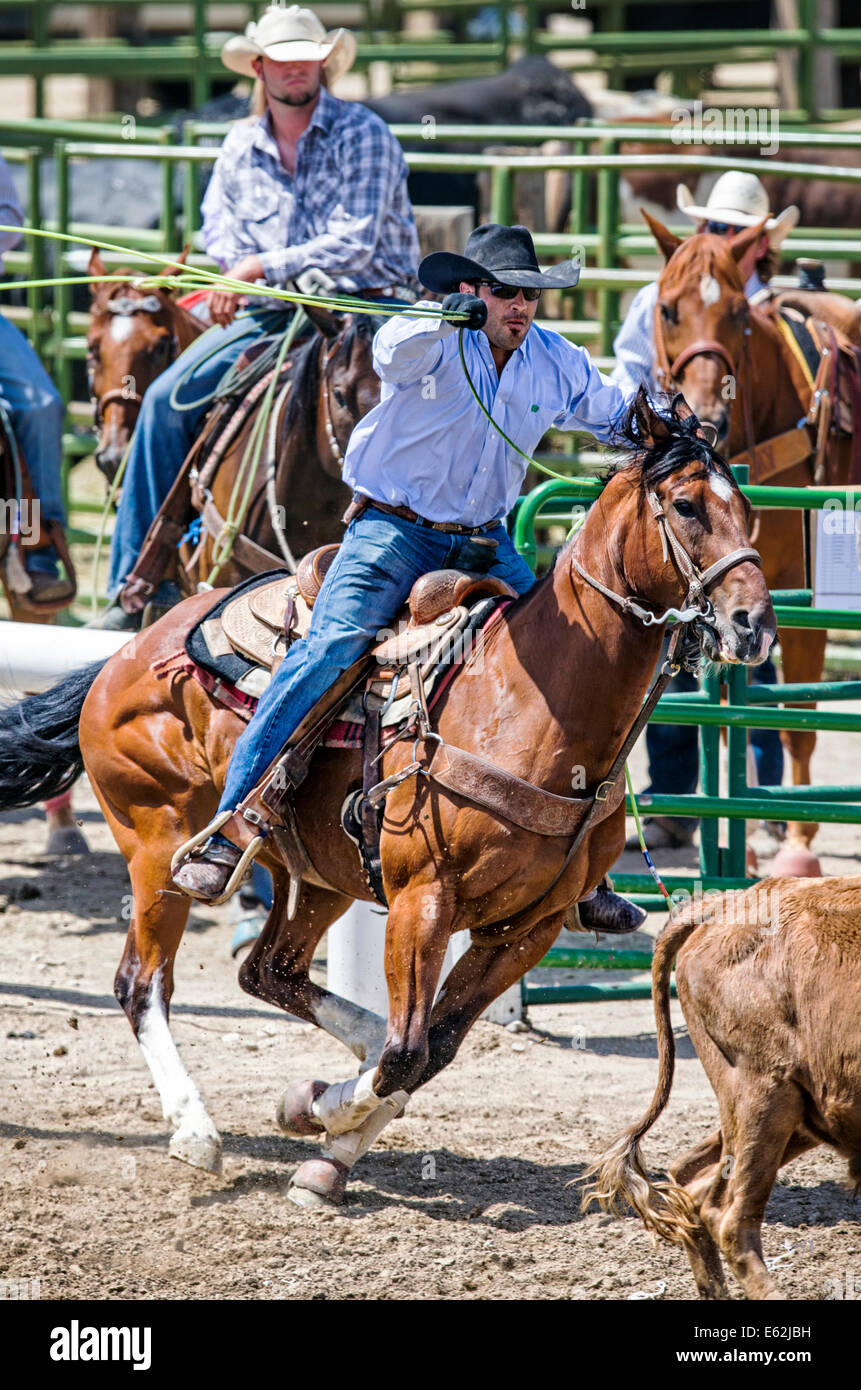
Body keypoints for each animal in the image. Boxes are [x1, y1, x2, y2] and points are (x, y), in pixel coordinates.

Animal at [0, 393, 774, 1207]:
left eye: (745, 507)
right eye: (685, 505)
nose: (753, 624)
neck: (531, 706)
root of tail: (123, 656)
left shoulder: (528, 927)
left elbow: (435, 1047)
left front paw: (320, 1128)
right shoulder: (421, 900)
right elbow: (409, 1052)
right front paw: (329, 1129)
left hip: (317, 875)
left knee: (269, 971)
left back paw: (316, 1077)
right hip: (157, 848)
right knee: (142, 983)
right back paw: (195, 1132)